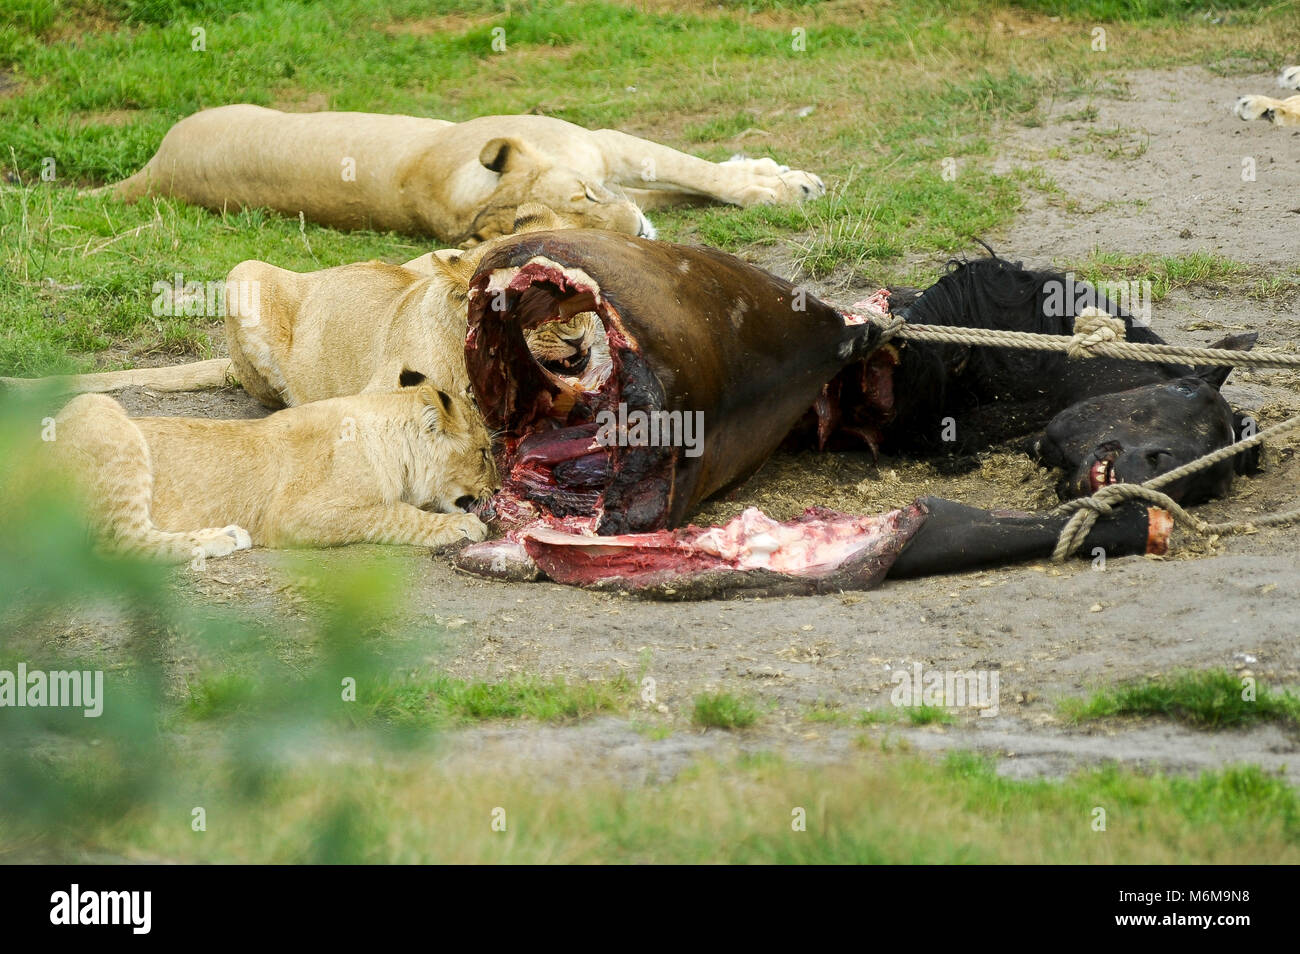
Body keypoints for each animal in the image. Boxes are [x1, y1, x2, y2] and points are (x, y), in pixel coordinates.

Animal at [43, 382, 493, 561]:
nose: (497, 485)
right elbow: (391, 514)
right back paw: (222, 537)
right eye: (486, 453)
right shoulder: (294, 516)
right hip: (97, 409)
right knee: (123, 541)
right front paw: (460, 527)